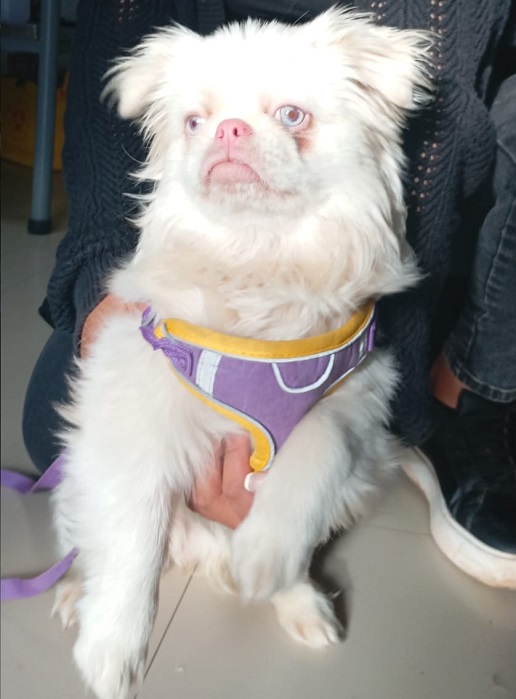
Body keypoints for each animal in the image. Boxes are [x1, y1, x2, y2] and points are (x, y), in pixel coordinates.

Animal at [52, 9, 433, 699]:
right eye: (193, 123)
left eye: (292, 116)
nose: (229, 129)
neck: (256, 257)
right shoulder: (131, 422)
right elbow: (130, 536)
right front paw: (112, 650)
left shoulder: (354, 409)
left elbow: (314, 453)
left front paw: (265, 555)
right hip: (71, 485)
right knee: (85, 542)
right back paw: (72, 593)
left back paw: (298, 598)